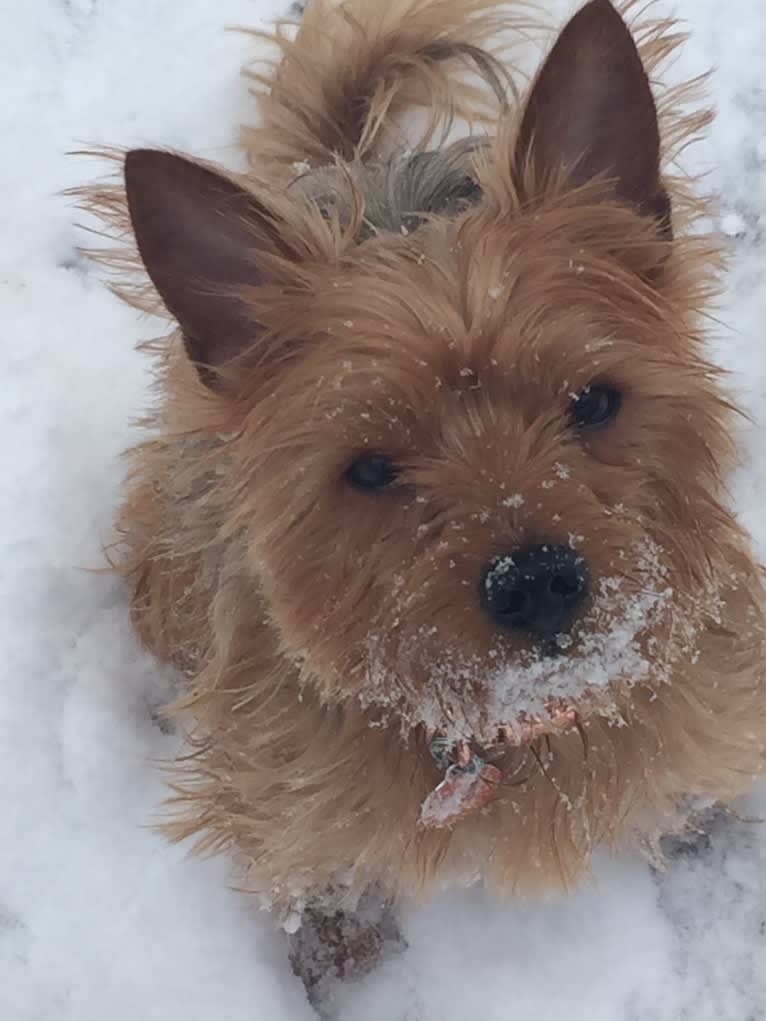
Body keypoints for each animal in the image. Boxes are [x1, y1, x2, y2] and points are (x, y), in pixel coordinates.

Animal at [82, 0, 766, 988]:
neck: (509, 727)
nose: (535, 579)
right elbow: (314, 875)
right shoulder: (289, 800)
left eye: (594, 401)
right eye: (370, 468)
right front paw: (339, 960)